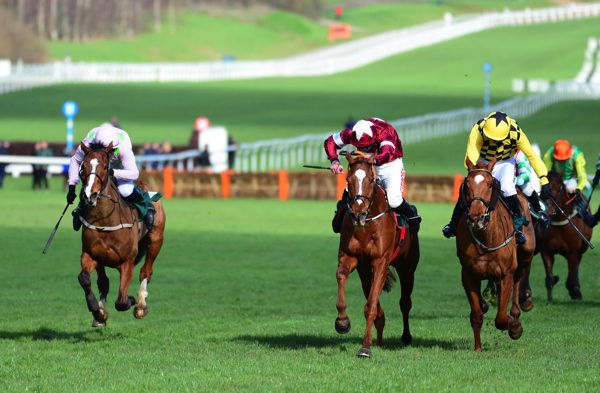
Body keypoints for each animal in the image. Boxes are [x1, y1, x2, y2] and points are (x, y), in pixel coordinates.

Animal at [78, 142, 166, 326]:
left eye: (105, 167)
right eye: (83, 167)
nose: (90, 195)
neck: (105, 220)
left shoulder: (127, 262)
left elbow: (122, 301)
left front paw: (131, 300)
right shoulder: (91, 255)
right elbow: (86, 279)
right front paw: (98, 312)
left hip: (156, 240)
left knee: (146, 272)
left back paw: (140, 305)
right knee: (103, 282)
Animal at [336, 151, 420, 358]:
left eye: (371, 179)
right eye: (348, 179)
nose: (358, 212)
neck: (366, 226)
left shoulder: (381, 262)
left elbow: (371, 306)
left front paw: (365, 347)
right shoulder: (351, 258)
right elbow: (342, 277)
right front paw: (342, 322)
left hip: (408, 268)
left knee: (405, 303)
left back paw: (406, 337)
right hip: (365, 272)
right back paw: (380, 342)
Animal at [458, 158, 536, 350]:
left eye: (489, 184)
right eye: (466, 184)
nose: (476, 217)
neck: (486, 238)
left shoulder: (505, 273)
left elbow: (501, 319)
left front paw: (514, 326)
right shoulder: (468, 274)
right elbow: (476, 315)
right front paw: (478, 348)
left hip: (526, 252)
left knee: (519, 279)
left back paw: (518, 310)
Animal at [536, 170, 592, 302]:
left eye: (559, 188)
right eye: (543, 189)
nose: (547, 210)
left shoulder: (573, 252)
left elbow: (571, 276)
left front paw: (575, 292)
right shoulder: (546, 251)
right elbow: (549, 277)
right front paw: (549, 299)